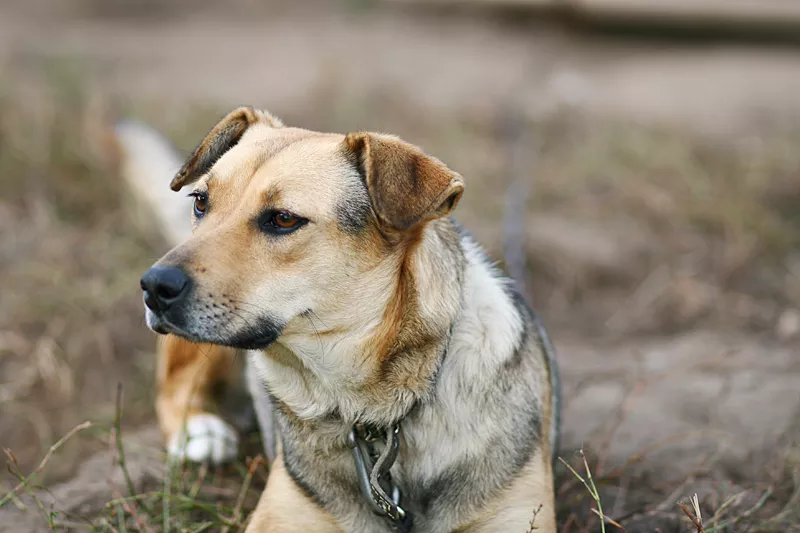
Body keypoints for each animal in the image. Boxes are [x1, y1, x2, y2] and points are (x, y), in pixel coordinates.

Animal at [119, 108, 560, 532]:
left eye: (283, 219)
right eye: (201, 202)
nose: (154, 285)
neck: (376, 410)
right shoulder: (282, 518)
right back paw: (200, 431)